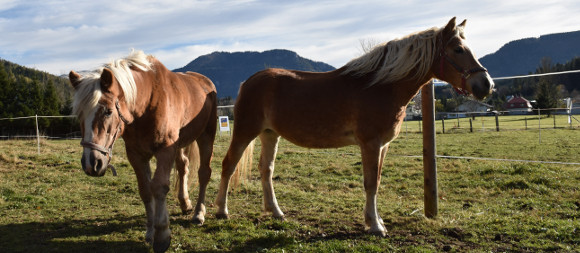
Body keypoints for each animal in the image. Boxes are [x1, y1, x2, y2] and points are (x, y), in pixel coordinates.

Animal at [68, 50, 218, 252]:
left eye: (108, 111)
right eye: (79, 114)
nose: (91, 163)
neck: (148, 103)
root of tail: (205, 82)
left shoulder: (165, 151)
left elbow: (159, 187)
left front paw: (162, 235)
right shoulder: (136, 155)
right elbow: (146, 190)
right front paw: (150, 231)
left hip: (206, 136)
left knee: (204, 173)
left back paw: (198, 214)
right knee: (183, 167)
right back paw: (185, 203)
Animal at [216, 18, 494, 237]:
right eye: (458, 49)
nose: (486, 84)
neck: (381, 86)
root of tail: (248, 82)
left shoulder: (383, 146)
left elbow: (377, 181)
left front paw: (376, 220)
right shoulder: (370, 144)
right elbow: (370, 183)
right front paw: (375, 226)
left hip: (270, 135)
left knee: (266, 170)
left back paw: (276, 212)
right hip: (245, 131)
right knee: (228, 165)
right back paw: (221, 210)